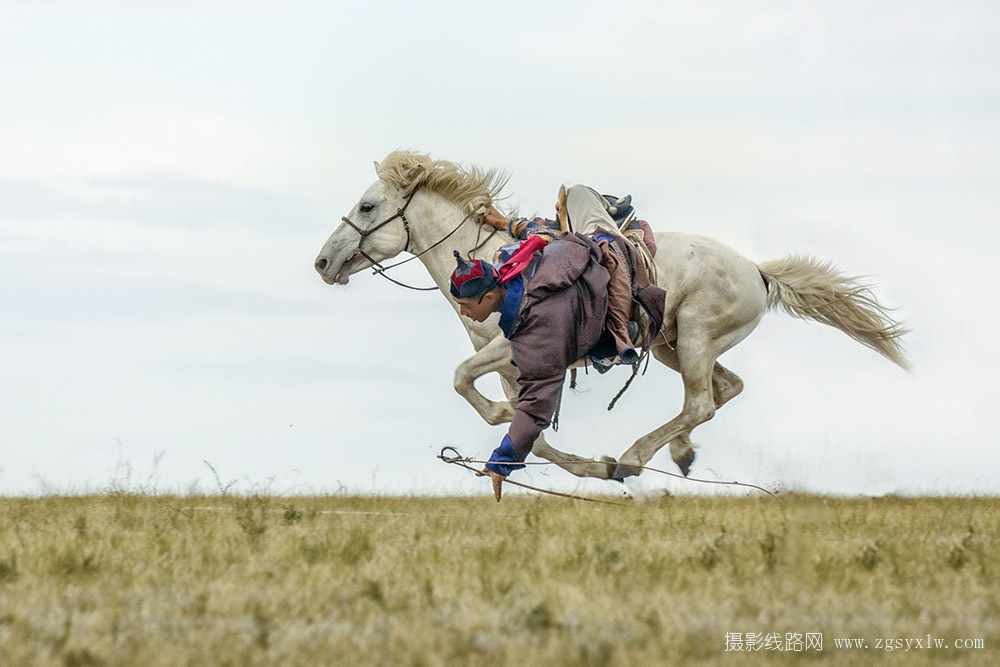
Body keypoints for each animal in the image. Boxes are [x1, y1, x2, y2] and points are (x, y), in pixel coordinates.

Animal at [316, 151, 912, 480]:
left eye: (368, 206)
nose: (323, 262)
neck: (498, 265)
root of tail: (758, 272)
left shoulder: (516, 350)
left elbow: (468, 385)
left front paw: (596, 463)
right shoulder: (512, 367)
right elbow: (522, 425)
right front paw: (586, 467)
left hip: (695, 339)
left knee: (701, 401)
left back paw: (633, 457)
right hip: (673, 346)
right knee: (725, 390)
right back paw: (676, 453)